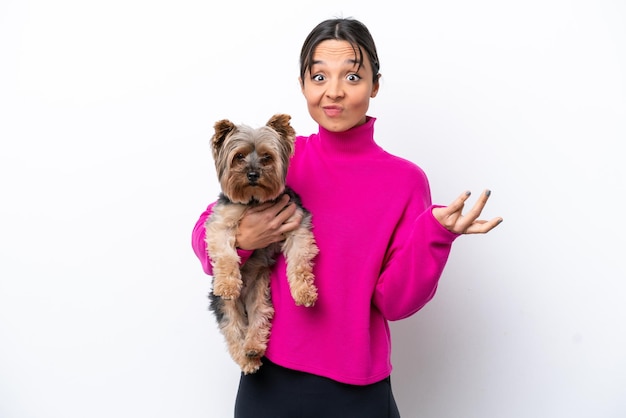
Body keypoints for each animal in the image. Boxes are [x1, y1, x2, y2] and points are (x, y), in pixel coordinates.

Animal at [204, 112, 314, 374]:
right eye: (239, 156)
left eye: (266, 157)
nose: (253, 174)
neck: (253, 200)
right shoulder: (220, 223)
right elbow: (225, 254)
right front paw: (227, 284)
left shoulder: (296, 224)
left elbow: (299, 260)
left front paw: (304, 292)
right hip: (226, 307)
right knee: (233, 330)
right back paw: (248, 359)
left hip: (260, 291)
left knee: (260, 315)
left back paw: (253, 348)